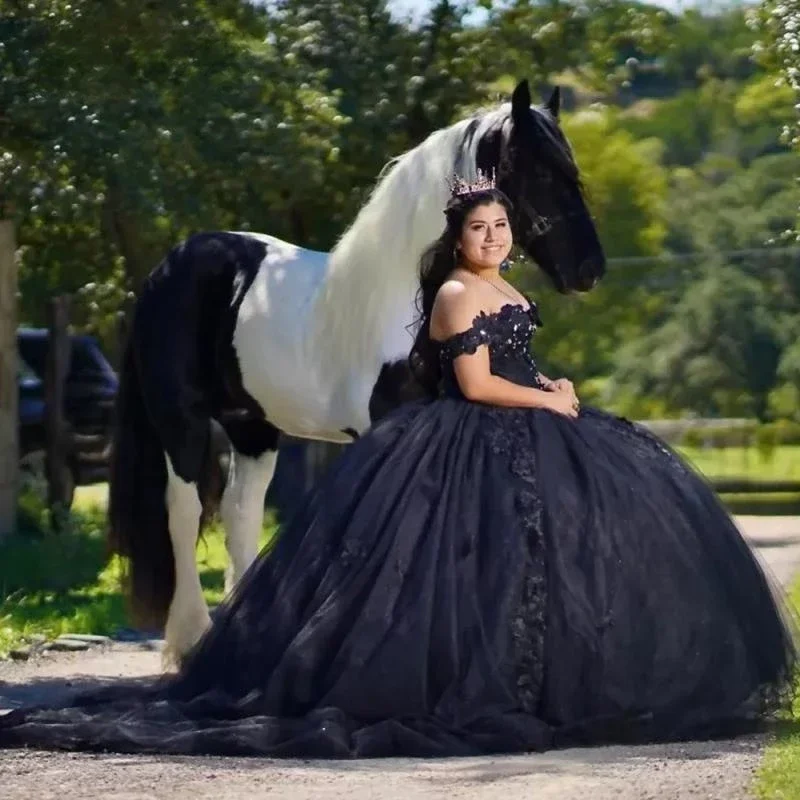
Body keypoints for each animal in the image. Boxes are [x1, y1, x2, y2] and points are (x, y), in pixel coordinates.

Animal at [108, 78, 608, 664]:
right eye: (543, 173)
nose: (590, 269)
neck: (408, 298)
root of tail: (167, 268)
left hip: (252, 427)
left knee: (240, 513)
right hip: (181, 422)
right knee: (183, 513)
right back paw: (190, 641)